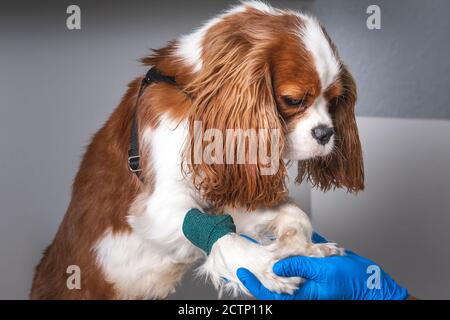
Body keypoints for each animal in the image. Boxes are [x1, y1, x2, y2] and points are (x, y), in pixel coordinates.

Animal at [30, 1, 362, 298]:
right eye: (293, 100)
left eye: (334, 100)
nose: (326, 133)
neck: (196, 98)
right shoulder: (158, 205)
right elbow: (222, 236)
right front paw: (262, 268)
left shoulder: (226, 190)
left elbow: (294, 214)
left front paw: (304, 247)